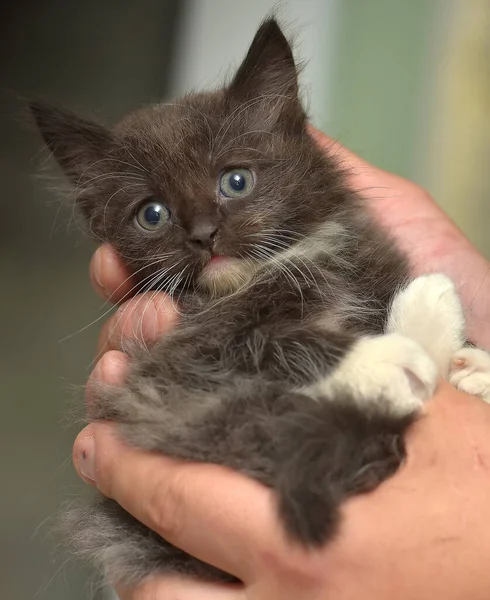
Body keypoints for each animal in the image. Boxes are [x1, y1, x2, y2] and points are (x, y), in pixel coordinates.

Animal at [29, 17, 490, 584]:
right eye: (152, 214)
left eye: (236, 181)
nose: (204, 234)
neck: (279, 267)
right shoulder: (170, 360)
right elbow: (262, 341)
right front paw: (380, 359)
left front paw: (474, 364)